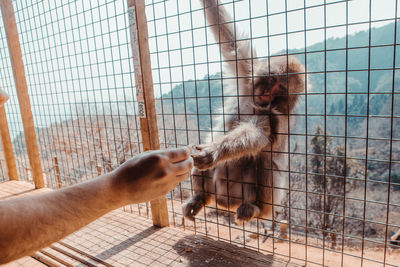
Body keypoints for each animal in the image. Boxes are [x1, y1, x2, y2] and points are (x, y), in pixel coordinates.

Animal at [182, 0, 306, 228]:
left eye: (282, 89)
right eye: (272, 80)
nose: (267, 93)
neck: (257, 102)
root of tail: (225, 203)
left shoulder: (275, 114)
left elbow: (261, 134)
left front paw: (215, 151)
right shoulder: (248, 74)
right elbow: (228, 38)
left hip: (260, 200)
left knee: (264, 161)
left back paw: (253, 207)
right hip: (215, 189)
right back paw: (199, 198)